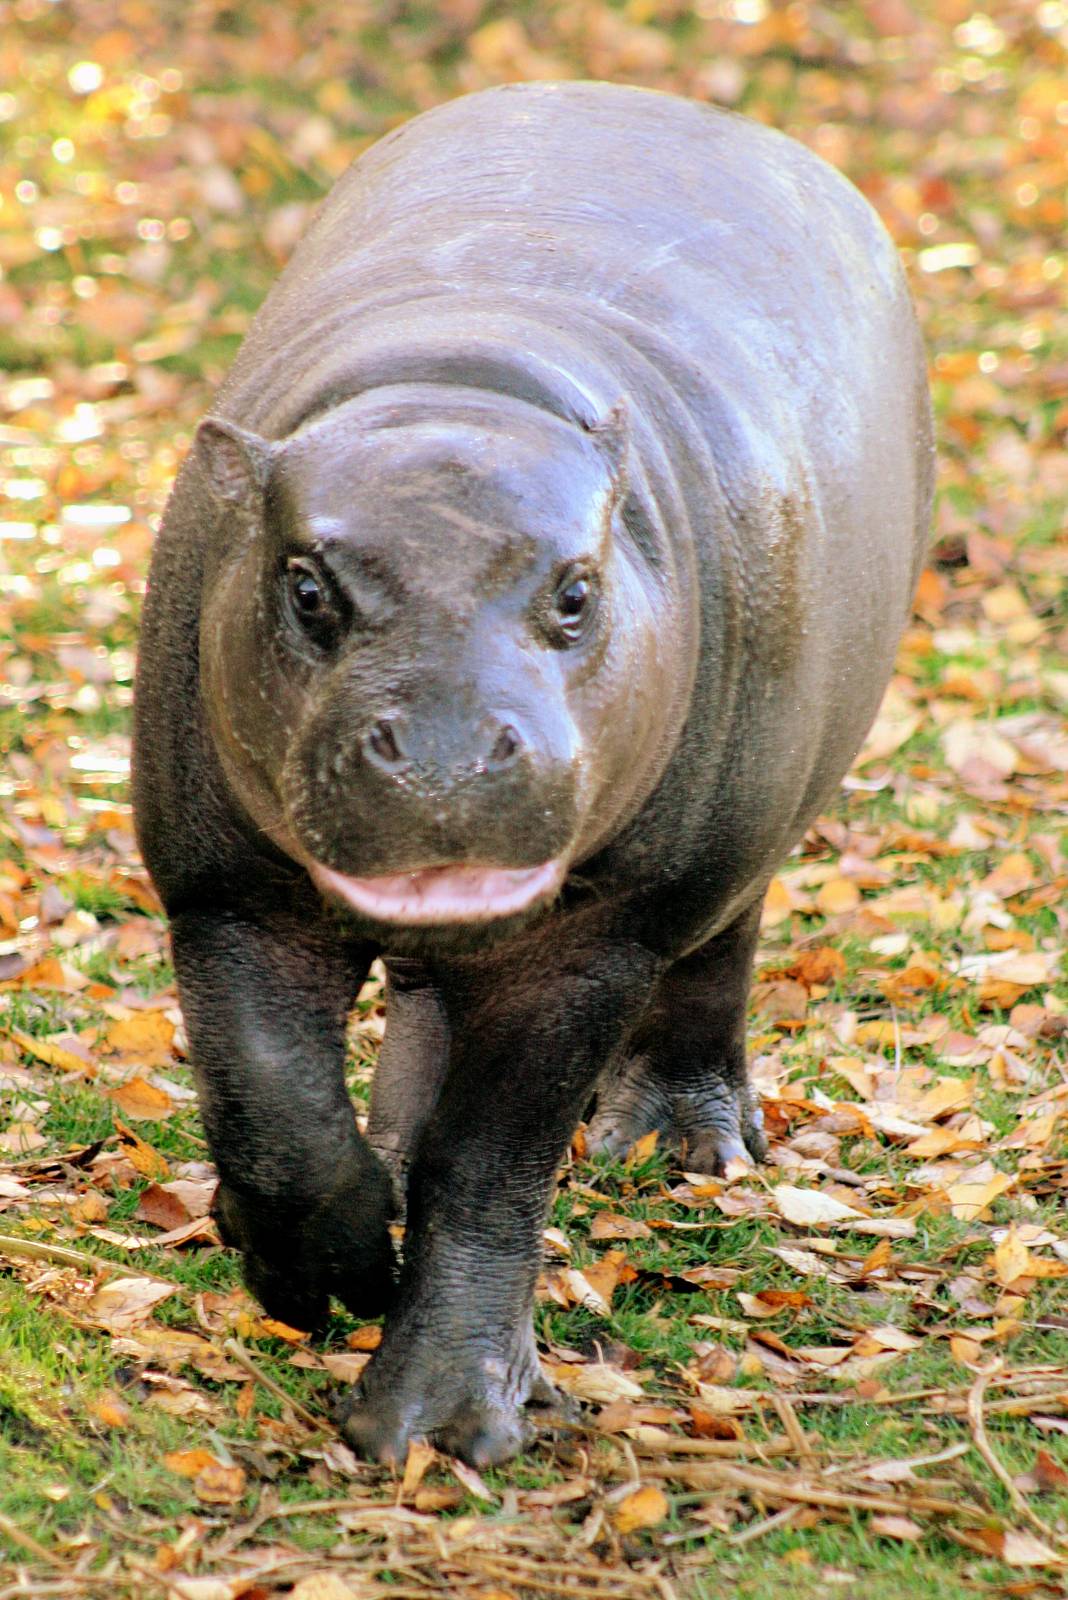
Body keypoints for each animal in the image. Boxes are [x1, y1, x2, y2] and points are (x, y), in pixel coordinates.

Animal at [132, 81, 933, 1467]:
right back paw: (390, 1156)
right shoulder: (221, 885)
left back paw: (681, 1144)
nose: (448, 756)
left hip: (740, 833)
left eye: (576, 589)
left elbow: (493, 1159)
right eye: (304, 584)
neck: (458, 391)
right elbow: (275, 1107)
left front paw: (444, 1429)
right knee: (421, 1011)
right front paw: (325, 1269)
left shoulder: (596, 937)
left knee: (719, 953)